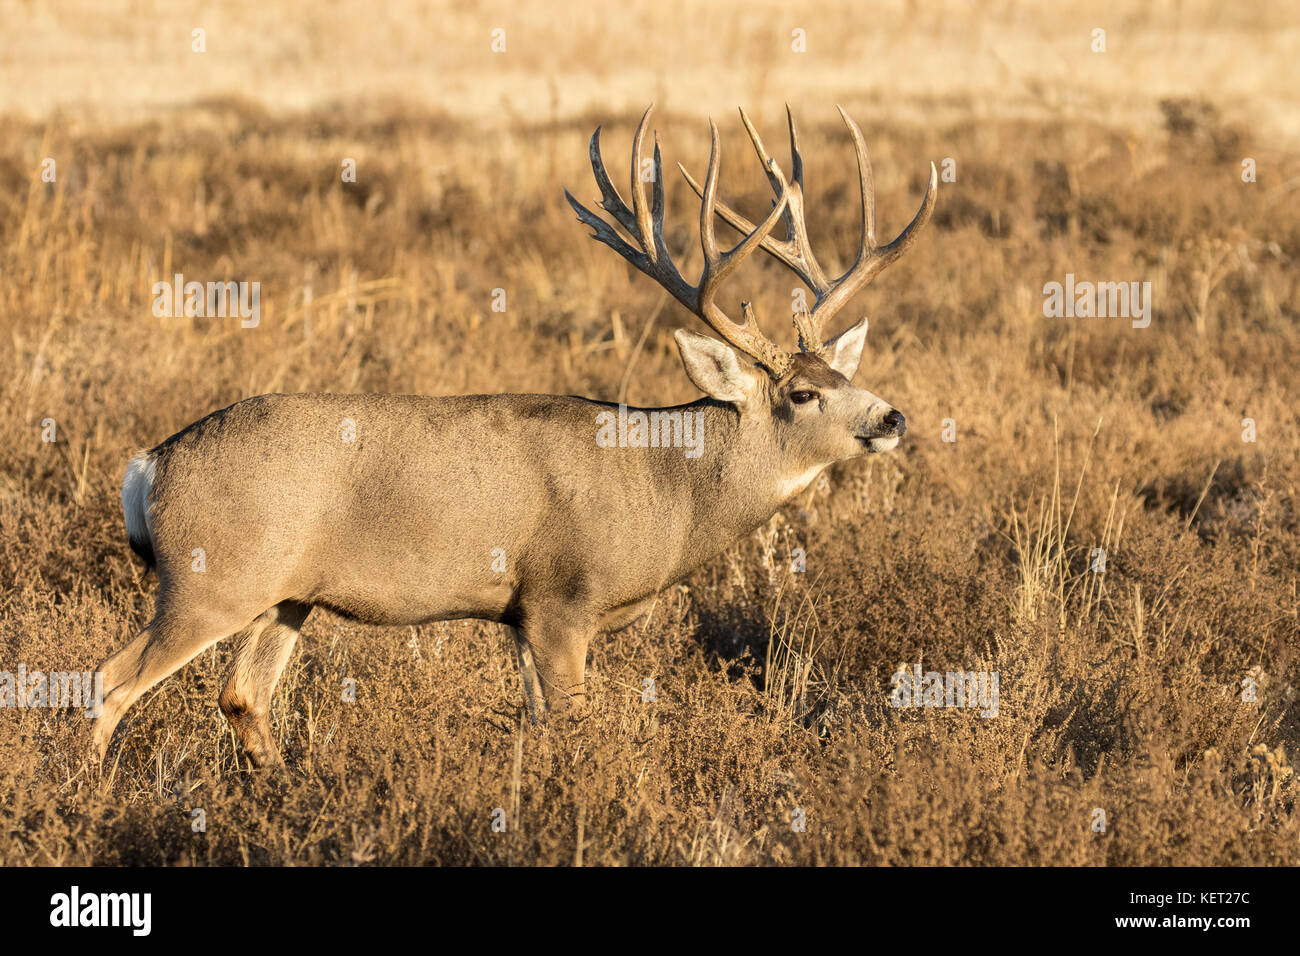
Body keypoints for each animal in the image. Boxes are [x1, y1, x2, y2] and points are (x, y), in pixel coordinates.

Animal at [91, 104, 935, 764]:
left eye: (845, 373)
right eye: (802, 393)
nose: (891, 417)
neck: (665, 486)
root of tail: (149, 464)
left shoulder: (519, 616)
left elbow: (535, 726)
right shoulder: (562, 597)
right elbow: (574, 727)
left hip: (284, 595)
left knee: (242, 695)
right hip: (211, 579)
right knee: (109, 681)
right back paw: (88, 799)